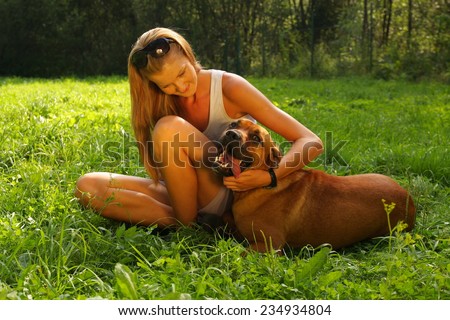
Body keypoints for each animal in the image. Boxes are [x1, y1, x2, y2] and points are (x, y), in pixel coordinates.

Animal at [213, 119, 416, 251]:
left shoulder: (268, 245)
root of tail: (409, 199)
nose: (231, 134)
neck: (259, 187)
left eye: (256, 139)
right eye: (234, 124)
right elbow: (226, 217)